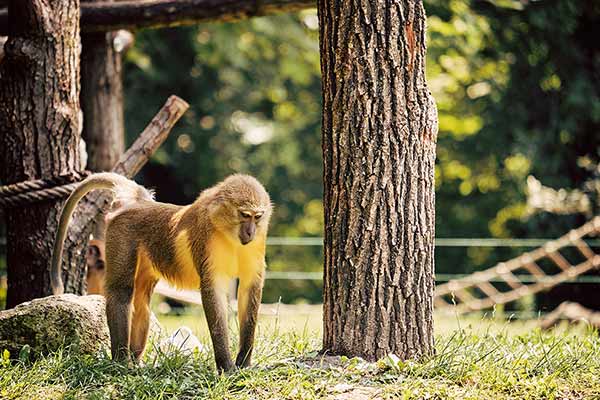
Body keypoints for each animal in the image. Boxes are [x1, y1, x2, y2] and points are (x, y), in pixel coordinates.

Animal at [51, 172, 272, 372]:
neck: (226, 231)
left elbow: (250, 288)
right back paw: (121, 362)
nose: (250, 232)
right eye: (244, 215)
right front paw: (225, 365)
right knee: (121, 292)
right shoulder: (206, 240)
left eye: (257, 217)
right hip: (120, 233)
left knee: (141, 300)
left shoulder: (257, 243)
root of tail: (139, 203)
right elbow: (213, 292)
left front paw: (244, 362)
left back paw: (136, 360)